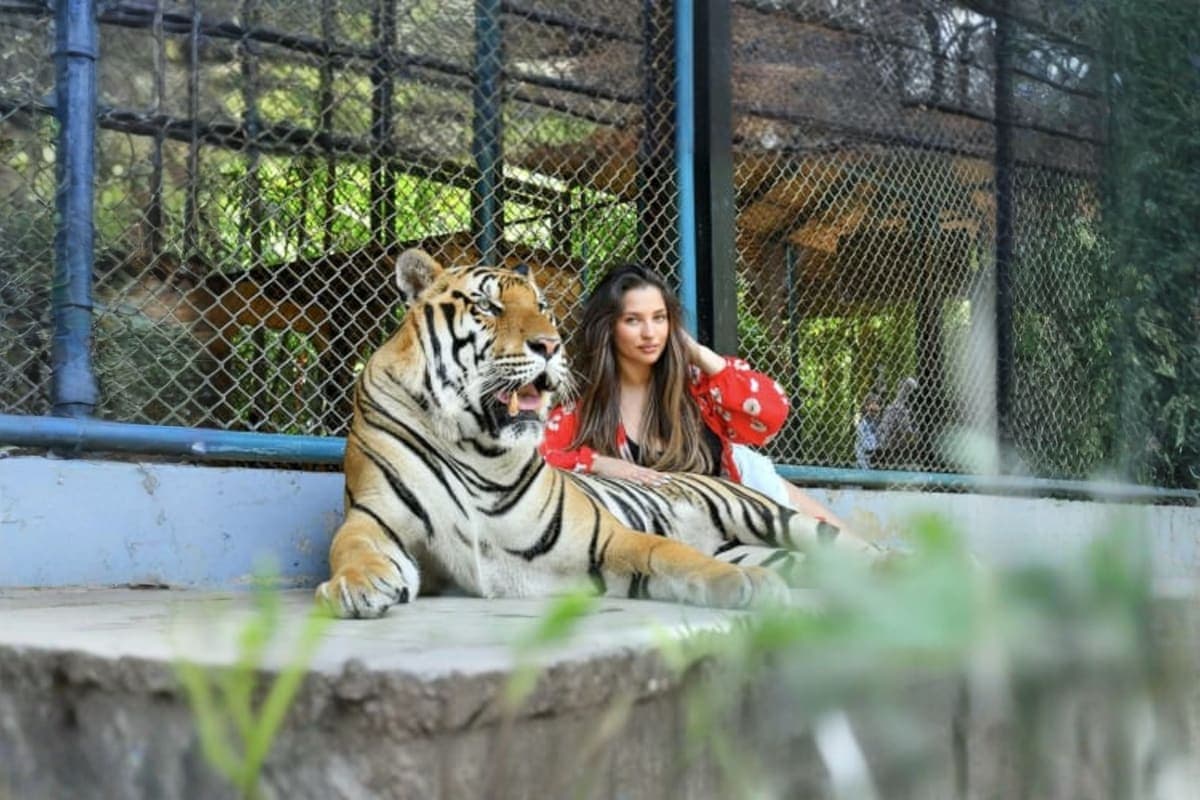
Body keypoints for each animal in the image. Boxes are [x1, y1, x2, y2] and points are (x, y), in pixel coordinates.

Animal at [316, 249, 857, 619]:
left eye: (542, 306)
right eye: (488, 307)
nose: (551, 345)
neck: (474, 444)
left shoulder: (609, 538)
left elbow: (671, 552)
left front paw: (745, 582)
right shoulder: (376, 517)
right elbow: (350, 546)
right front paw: (356, 585)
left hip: (776, 518)